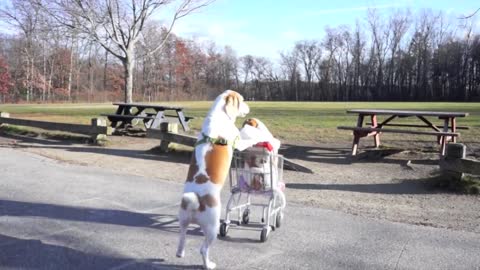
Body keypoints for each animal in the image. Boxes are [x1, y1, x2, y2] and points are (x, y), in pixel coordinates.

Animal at [175, 90, 251, 270]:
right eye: (242, 100)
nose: (250, 107)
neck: (219, 115)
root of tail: (196, 201)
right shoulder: (239, 141)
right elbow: (248, 139)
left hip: (183, 222)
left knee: (181, 239)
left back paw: (181, 253)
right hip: (212, 229)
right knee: (203, 250)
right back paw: (208, 265)